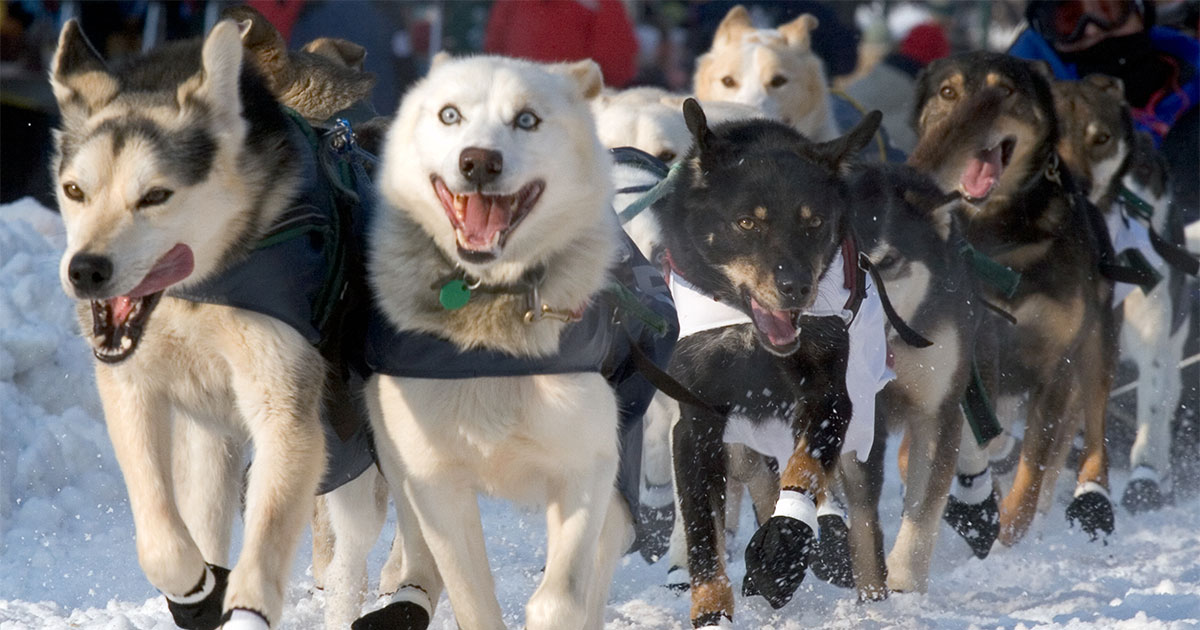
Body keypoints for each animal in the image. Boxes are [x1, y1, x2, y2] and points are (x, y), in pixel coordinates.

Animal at [912, 52, 1118, 544]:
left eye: (1004, 90)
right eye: (947, 92)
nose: (972, 123)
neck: (998, 236)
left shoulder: (1056, 362)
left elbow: (1037, 458)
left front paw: (1009, 521)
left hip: (1095, 347)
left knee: (1094, 429)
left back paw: (1092, 495)